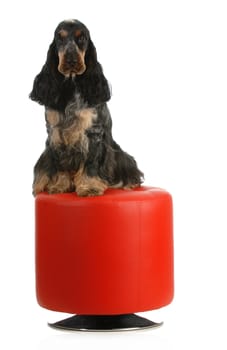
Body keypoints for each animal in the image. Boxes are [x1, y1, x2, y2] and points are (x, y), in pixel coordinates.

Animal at [29, 19, 144, 197]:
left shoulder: (93, 131)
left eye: (81, 38)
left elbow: (90, 162)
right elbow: (60, 163)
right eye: (60, 38)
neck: (71, 85)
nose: (71, 60)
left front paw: (89, 187)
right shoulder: (55, 132)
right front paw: (59, 186)